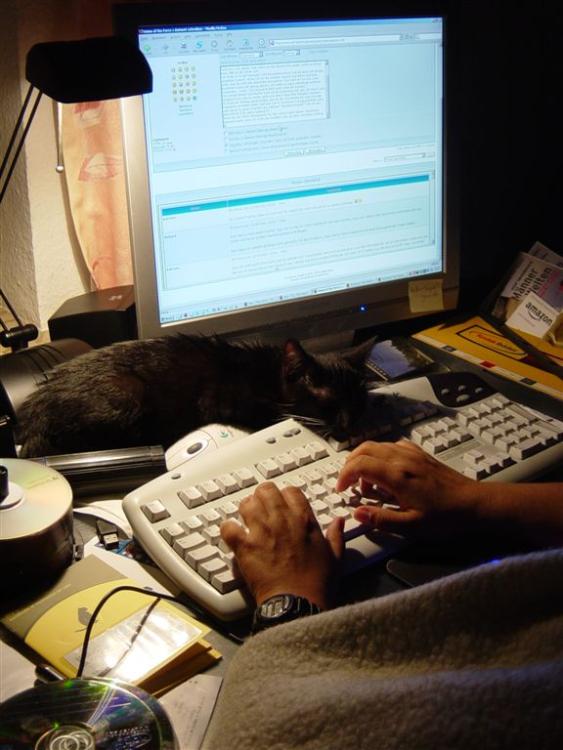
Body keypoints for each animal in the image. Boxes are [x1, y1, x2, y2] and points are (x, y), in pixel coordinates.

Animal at [16, 335, 374, 458]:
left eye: (358, 401)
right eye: (327, 400)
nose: (350, 424)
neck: (269, 377)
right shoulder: (227, 401)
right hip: (126, 396)